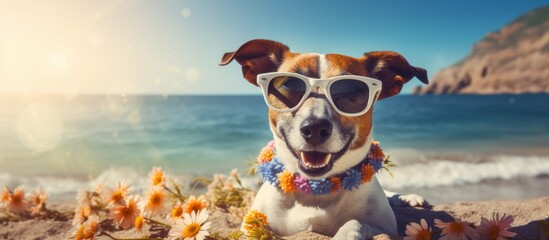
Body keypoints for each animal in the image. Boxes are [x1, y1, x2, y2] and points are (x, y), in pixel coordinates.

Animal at [218, 39, 428, 238]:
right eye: (289, 85)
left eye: (351, 91)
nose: (315, 128)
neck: (315, 191)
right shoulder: (251, 226)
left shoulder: (386, 227)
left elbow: (355, 223)